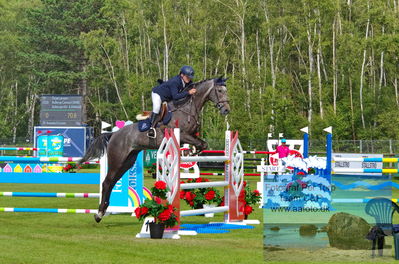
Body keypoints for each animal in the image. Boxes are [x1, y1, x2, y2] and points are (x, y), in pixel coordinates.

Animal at [79, 77, 231, 223]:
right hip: (117, 160)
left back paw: (103, 211)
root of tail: (113, 134)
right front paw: (188, 152)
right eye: (219, 91)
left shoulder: (192, 135)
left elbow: (203, 144)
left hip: (127, 161)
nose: (226, 110)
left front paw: (190, 152)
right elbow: (200, 144)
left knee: (112, 182)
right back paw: (99, 214)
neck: (188, 109)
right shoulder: (182, 134)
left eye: (225, 90)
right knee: (107, 182)